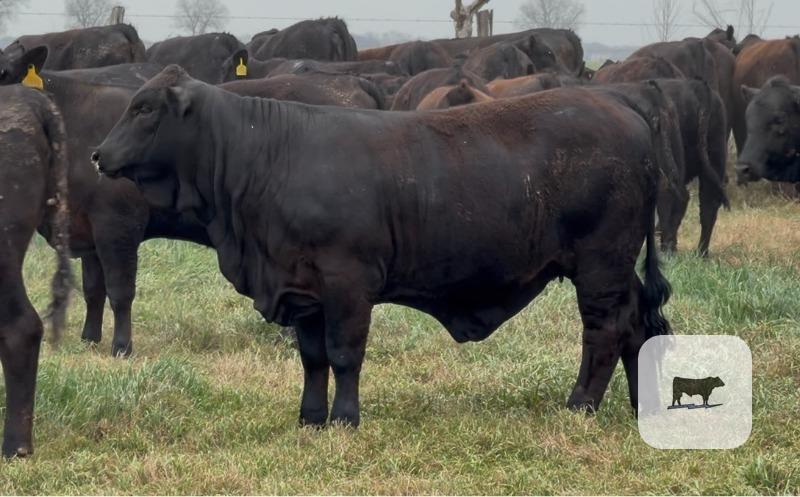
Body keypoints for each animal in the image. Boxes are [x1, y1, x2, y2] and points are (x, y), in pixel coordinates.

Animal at [93, 65, 672, 426]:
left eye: (144, 109)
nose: (98, 155)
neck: (266, 157)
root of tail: (624, 106)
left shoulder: (347, 282)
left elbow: (344, 354)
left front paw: (345, 419)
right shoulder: (303, 289)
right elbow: (312, 358)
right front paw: (310, 418)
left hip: (600, 265)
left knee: (605, 332)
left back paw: (580, 405)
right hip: (617, 268)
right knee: (638, 323)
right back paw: (640, 403)